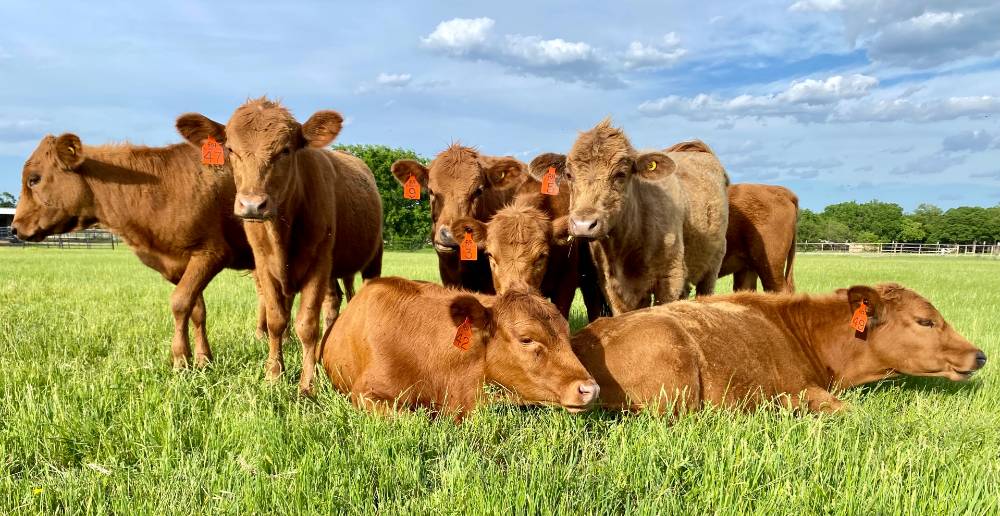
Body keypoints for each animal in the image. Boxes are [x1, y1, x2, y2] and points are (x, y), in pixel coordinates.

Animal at [11, 134, 256, 369]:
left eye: (34, 179)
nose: (14, 227)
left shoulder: (211, 253)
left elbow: (179, 303)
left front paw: (180, 360)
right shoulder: (180, 267)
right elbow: (196, 310)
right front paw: (203, 360)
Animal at [177, 98, 383, 395]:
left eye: (285, 150)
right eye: (230, 149)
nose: (252, 204)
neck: (281, 232)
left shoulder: (318, 262)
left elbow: (307, 324)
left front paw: (307, 385)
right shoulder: (264, 264)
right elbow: (276, 320)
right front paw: (274, 374)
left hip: (372, 257)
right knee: (333, 303)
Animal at [535, 120, 729, 315]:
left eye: (620, 174)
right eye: (569, 175)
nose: (584, 224)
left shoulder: (671, 278)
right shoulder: (611, 285)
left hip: (712, 266)